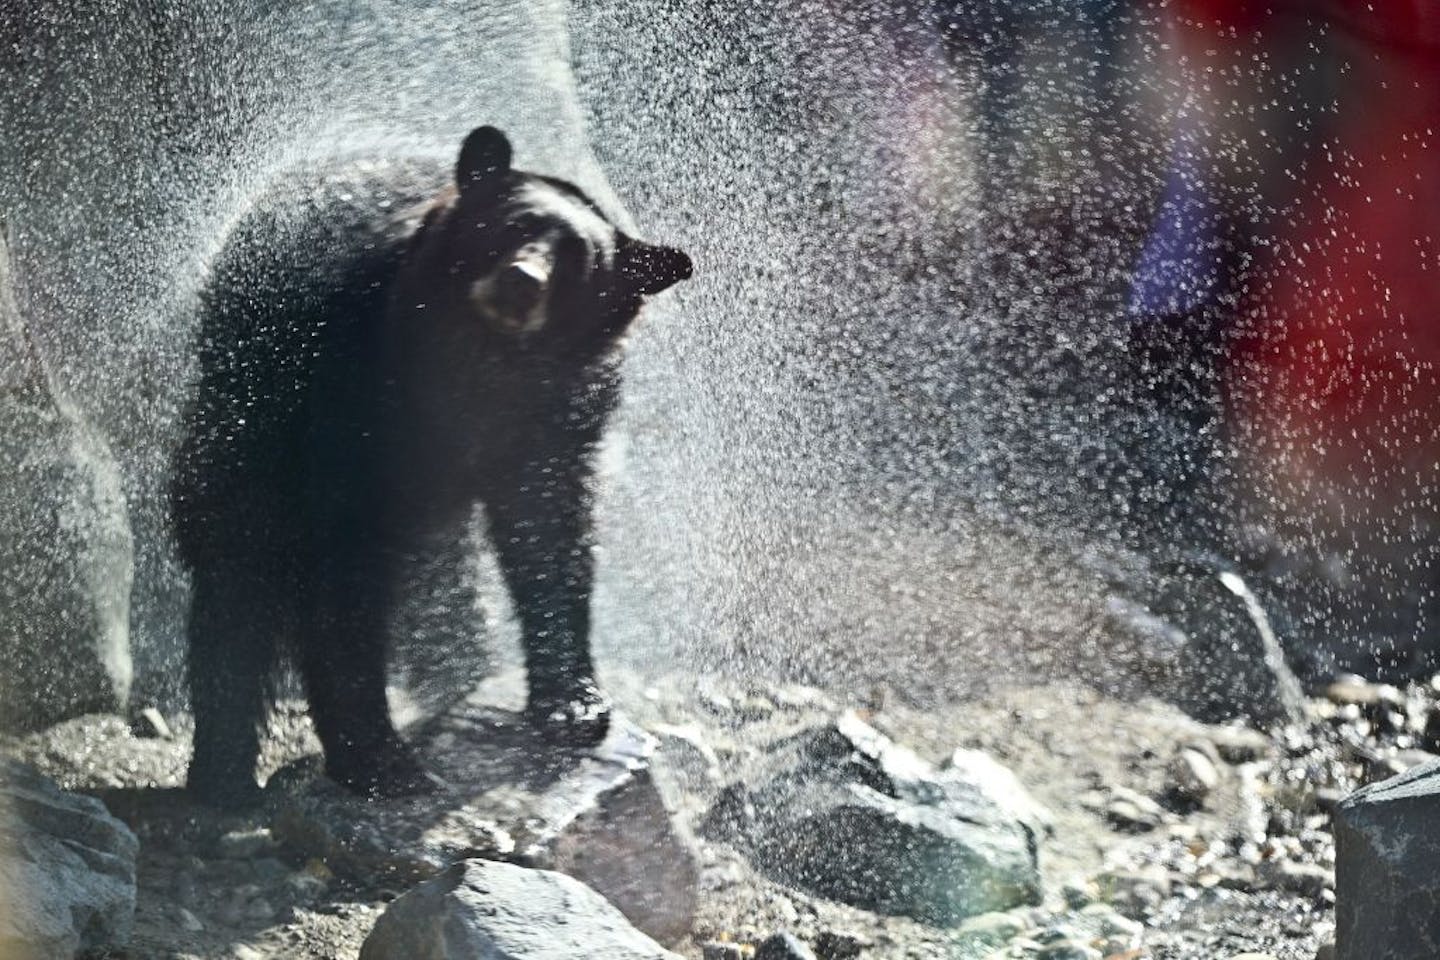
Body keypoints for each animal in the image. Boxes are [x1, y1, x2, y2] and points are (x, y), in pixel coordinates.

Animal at [174, 123, 691, 805]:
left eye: (579, 260)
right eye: (514, 226)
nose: (521, 280)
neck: (478, 368)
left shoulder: (557, 418)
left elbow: (550, 535)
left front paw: (575, 706)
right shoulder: (346, 396)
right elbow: (341, 579)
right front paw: (380, 758)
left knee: (443, 579)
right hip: (242, 410)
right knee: (237, 571)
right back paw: (223, 775)